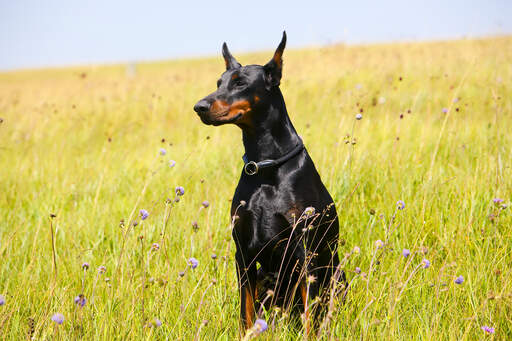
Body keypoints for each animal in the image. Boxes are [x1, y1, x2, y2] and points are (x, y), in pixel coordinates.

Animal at [192, 31, 344, 330]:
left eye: (240, 83)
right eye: (219, 83)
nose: (199, 107)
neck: (264, 167)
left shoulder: (303, 252)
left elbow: (309, 315)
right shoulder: (243, 255)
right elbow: (246, 313)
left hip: (334, 275)